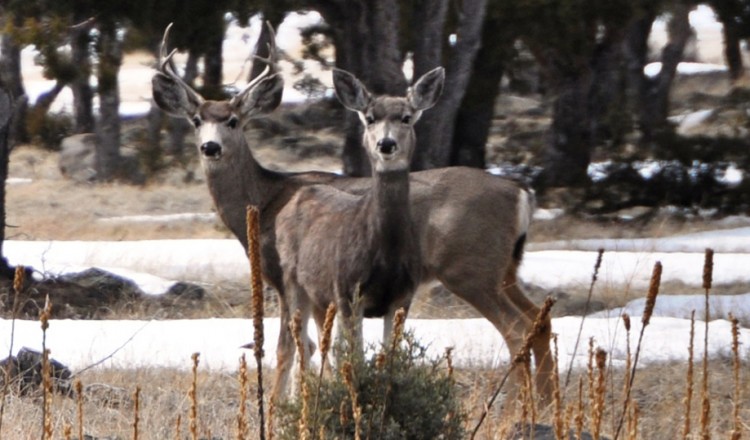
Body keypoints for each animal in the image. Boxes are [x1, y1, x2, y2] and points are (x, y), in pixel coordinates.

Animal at [276, 65, 446, 384]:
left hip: (320, 297)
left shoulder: (402, 297)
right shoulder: (348, 292)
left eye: (406, 117)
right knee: (296, 348)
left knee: (315, 346)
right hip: (293, 280)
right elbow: (354, 358)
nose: (386, 143)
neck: (385, 255)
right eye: (370, 118)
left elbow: (388, 358)